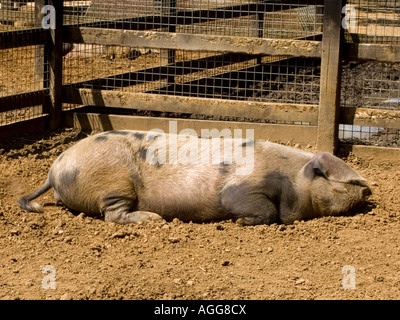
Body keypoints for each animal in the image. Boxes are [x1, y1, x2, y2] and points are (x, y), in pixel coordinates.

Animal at [16, 129, 372, 225]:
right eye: (346, 181)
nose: (369, 192)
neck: (292, 181)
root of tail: (54, 170)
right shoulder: (241, 188)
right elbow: (260, 210)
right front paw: (240, 222)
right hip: (114, 183)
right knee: (112, 215)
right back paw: (154, 219)